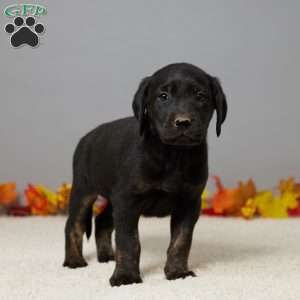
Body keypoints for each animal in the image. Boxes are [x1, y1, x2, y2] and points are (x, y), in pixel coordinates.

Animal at [63, 62, 227, 286]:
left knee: (103, 221)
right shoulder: (128, 201)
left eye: (200, 96)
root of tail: (86, 138)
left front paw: (177, 272)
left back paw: (106, 256)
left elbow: (181, 241)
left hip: (113, 198)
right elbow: (128, 241)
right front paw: (126, 276)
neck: (173, 155)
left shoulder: (189, 203)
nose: (183, 122)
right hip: (83, 189)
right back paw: (74, 260)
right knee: (74, 224)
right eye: (163, 96)